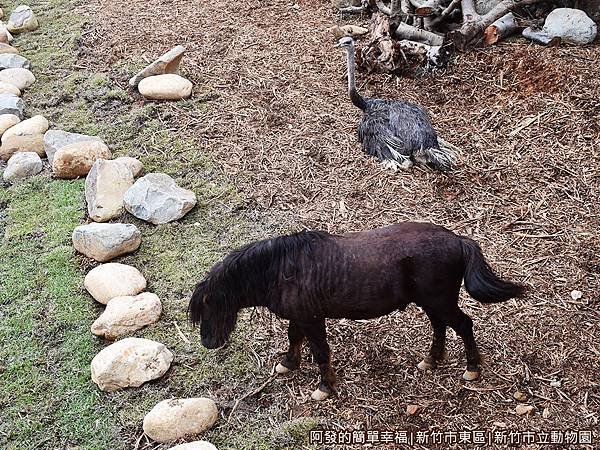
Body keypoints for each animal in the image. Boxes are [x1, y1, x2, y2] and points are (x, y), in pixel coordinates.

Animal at [189, 221, 524, 400]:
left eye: (210, 307)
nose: (209, 343)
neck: (282, 269)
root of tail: (458, 240)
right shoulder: (301, 317)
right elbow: (294, 339)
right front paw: (288, 363)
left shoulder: (312, 319)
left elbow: (320, 352)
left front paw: (325, 387)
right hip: (431, 302)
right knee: (439, 327)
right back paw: (430, 360)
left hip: (440, 300)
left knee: (464, 325)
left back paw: (472, 368)